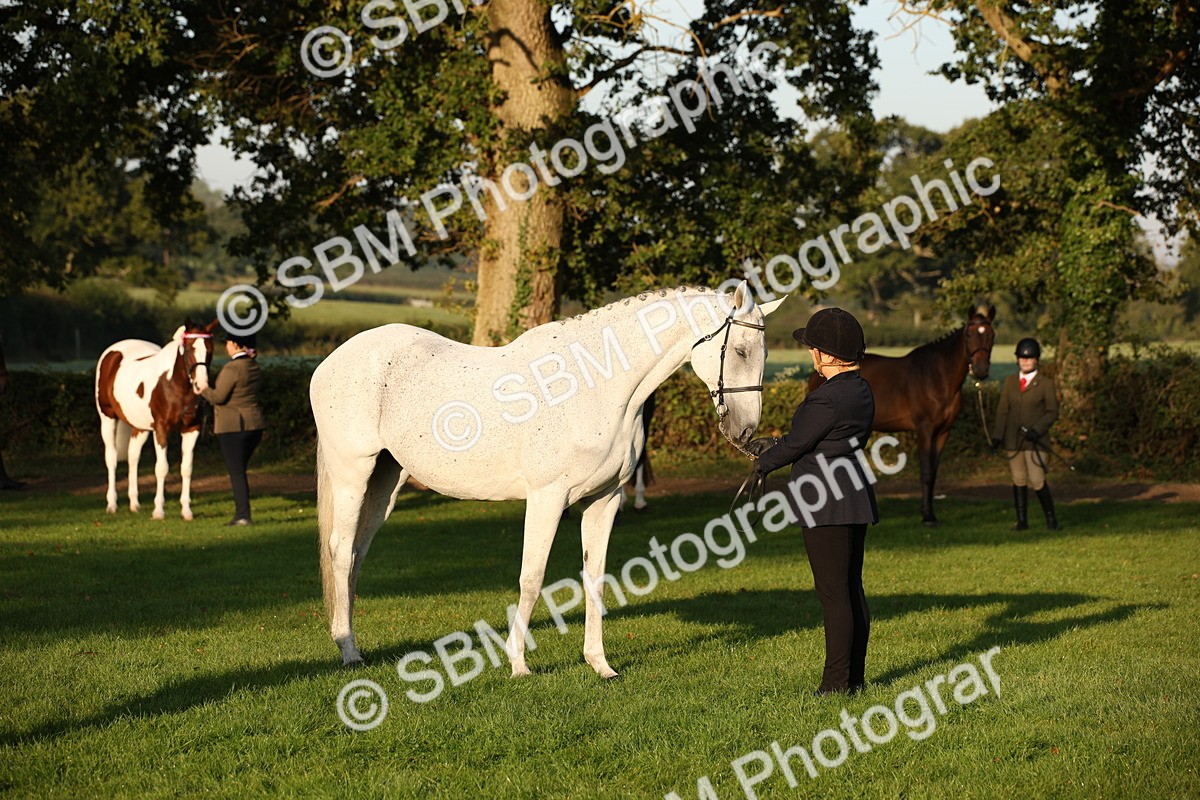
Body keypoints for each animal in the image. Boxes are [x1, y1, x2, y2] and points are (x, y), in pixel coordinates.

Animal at [95, 320, 218, 519]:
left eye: (210, 349)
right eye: (190, 348)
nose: (202, 385)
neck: (173, 384)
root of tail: (112, 353)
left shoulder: (192, 429)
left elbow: (186, 468)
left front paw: (186, 511)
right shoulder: (161, 429)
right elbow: (161, 468)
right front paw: (159, 511)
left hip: (140, 426)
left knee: (133, 456)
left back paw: (134, 504)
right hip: (108, 418)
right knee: (111, 458)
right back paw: (112, 504)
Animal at [311, 282, 785, 676]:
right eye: (741, 351)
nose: (746, 431)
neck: (593, 386)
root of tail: (331, 362)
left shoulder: (605, 500)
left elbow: (595, 577)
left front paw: (599, 663)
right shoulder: (547, 498)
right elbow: (532, 577)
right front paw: (518, 663)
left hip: (385, 481)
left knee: (356, 553)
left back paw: (349, 643)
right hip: (353, 474)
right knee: (341, 551)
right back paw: (348, 651)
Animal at [808, 306, 995, 527]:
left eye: (991, 335)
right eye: (969, 334)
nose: (981, 370)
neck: (938, 376)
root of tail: (814, 377)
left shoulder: (943, 432)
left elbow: (933, 473)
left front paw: (931, 513)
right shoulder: (925, 429)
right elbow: (925, 472)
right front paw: (927, 516)